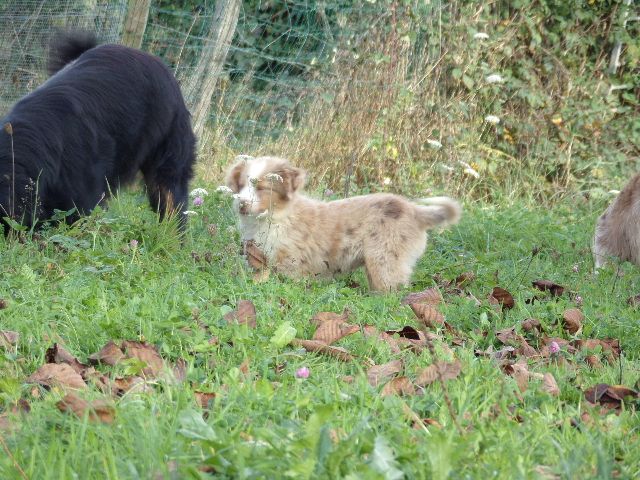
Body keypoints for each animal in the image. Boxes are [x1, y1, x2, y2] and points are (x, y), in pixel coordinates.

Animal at [225, 156, 460, 290]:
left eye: (262, 188)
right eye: (241, 185)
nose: (241, 204)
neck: (276, 217)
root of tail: (413, 210)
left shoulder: (289, 260)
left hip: (383, 258)